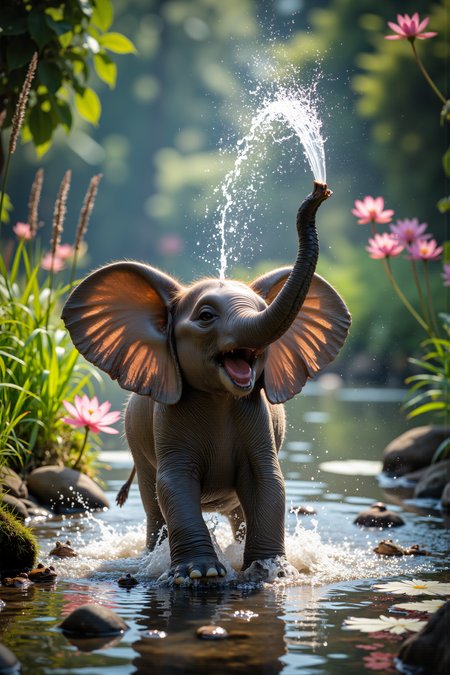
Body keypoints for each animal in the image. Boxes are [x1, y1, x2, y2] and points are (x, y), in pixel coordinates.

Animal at [62, 181, 351, 584]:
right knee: (153, 503)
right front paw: (198, 574)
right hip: (137, 443)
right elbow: (174, 484)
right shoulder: (167, 421)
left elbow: (268, 483)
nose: (319, 192)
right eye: (206, 316)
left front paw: (272, 573)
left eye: (262, 309)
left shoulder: (256, 417)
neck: (220, 396)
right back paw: (149, 560)